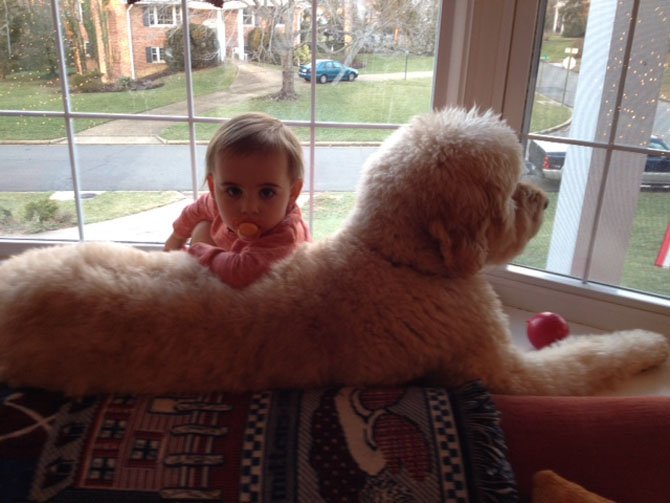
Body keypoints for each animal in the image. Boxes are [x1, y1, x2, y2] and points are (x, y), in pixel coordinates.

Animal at [0, 109, 668, 398]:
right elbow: (589, 358)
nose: (541, 200)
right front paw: (647, 344)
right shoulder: (502, 370)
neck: (394, 258)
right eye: (505, 191)